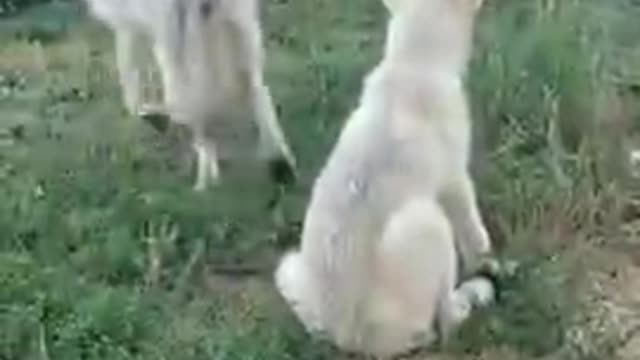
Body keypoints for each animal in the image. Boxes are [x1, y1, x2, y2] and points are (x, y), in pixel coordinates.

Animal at [84, 0, 296, 190]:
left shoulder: (132, 23)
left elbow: (128, 66)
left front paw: (140, 113)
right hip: (239, 24)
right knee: (257, 88)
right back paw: (282, 165)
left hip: (175, 37)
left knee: (192, 106)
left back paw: (203, 180)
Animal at [276, 0, 496, 356]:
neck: (412, 63)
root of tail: (353, 339)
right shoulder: (454, 178)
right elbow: (472, 226)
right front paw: (486, 260)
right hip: (428, 224)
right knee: (444, 322)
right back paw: (475, 294)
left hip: (291, 267)